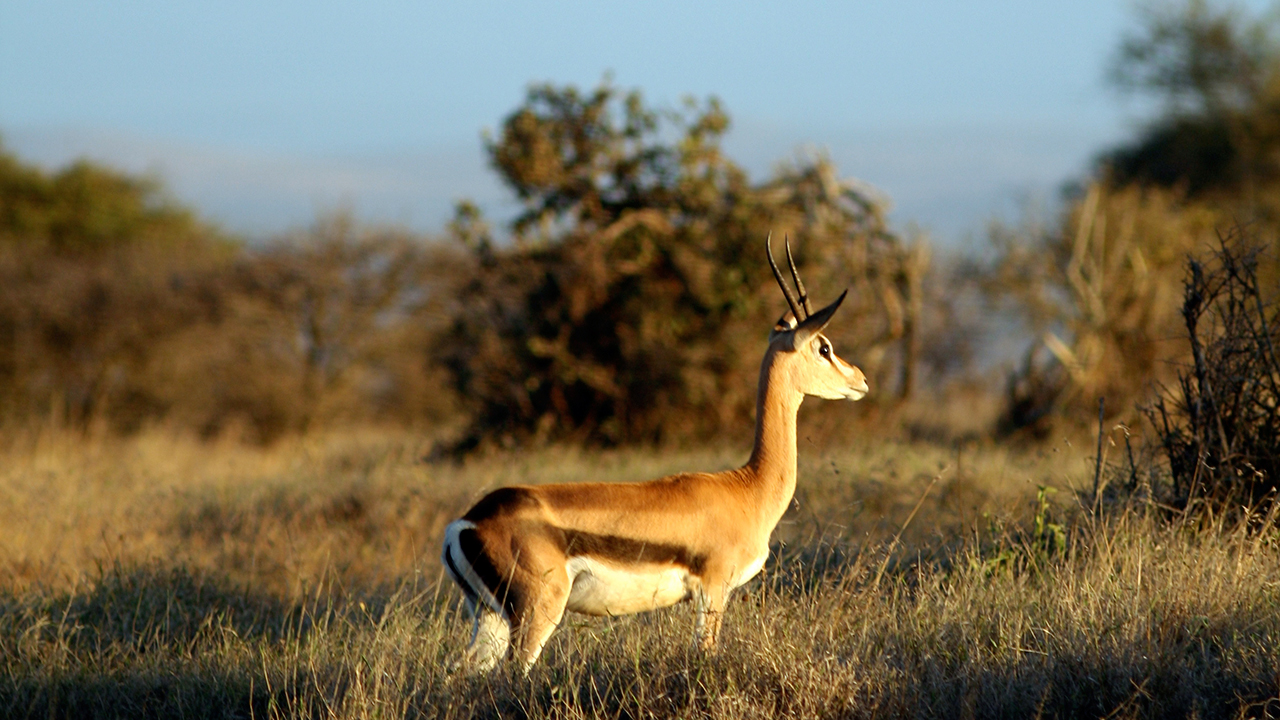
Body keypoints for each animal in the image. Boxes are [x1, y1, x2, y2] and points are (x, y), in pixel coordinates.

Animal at [441, 235, 869, 673]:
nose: (861, 380)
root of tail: (467, 522)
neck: (747, 488)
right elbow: (706, 652)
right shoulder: (713, 590)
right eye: (824, 347)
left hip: (490, 620)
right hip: (536, 614)